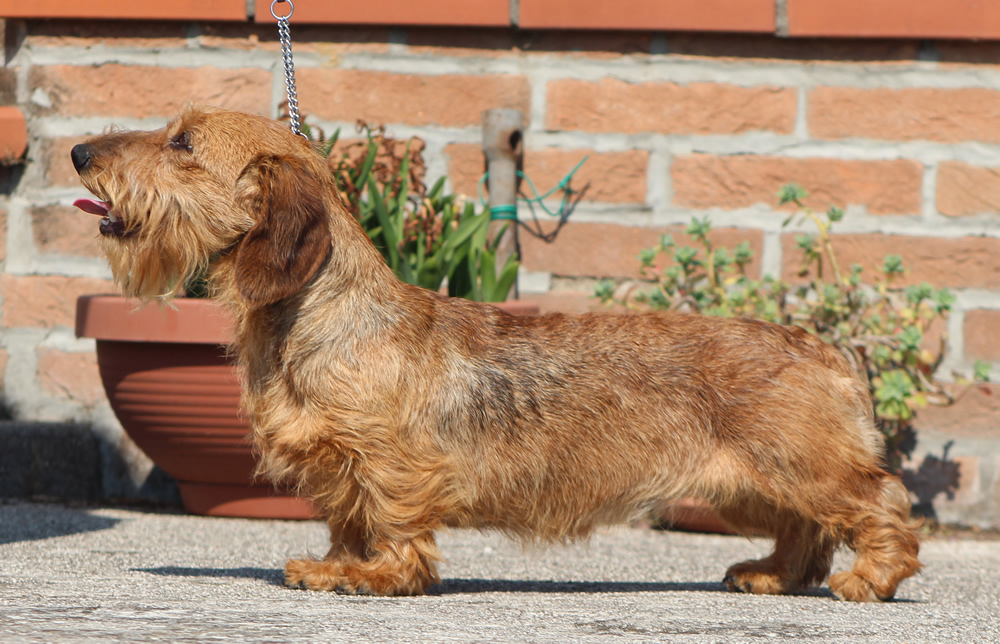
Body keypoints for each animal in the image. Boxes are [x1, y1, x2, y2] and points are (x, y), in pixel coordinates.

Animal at [72, 104, 920, 600]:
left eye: (182, 142)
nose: (79, 151)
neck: (322, 315)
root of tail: (824, 348)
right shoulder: (338, 469)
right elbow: (347, 523)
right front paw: (337, 565)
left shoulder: (389, 463)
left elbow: (393, 523)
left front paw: (380, 578)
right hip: (749, 483)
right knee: (803, 532)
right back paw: (773, 575)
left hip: (802, 468)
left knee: (880, 504)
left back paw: (871, 578)